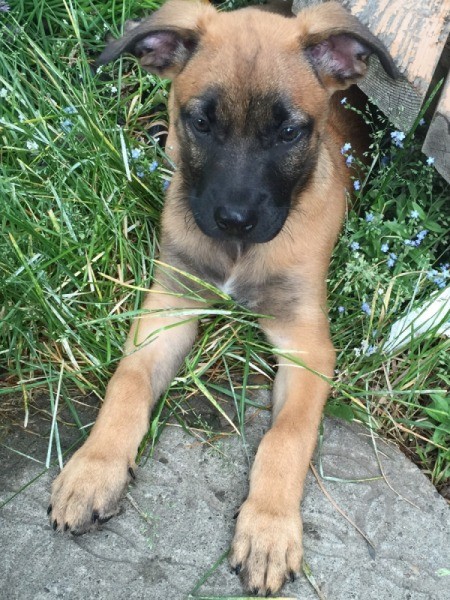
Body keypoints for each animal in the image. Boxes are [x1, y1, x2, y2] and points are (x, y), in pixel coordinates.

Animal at [47, 2, 396, 596]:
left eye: (288, 132)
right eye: (202, 123)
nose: (233, 220)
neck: (238, 254)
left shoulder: (307, 343)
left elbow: (286, 436)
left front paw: (269, 530)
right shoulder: (168, 305)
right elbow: (128, 381)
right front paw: (93, 468)